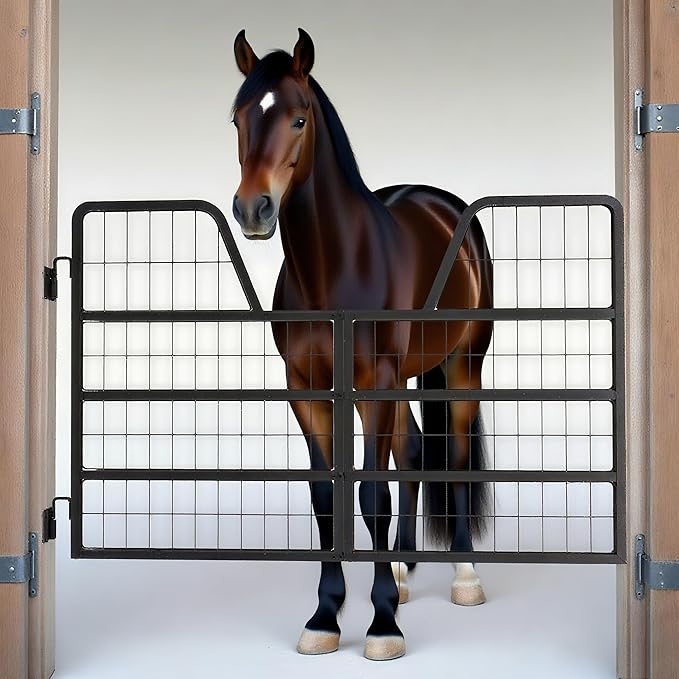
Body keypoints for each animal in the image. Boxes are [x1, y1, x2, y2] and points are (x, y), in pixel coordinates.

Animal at [230, 28, 493, 661]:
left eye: (299, 118)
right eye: (237, 118)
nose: (253, 210)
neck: (336, 267)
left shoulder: (374, 383)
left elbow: (371, 492)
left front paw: (382, 625)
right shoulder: (306, 389)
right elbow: (327, 495)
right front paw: (326, 615)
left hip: (462, 365)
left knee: (455, 455)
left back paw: (464, 576)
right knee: (415, 451)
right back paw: (400, 569)